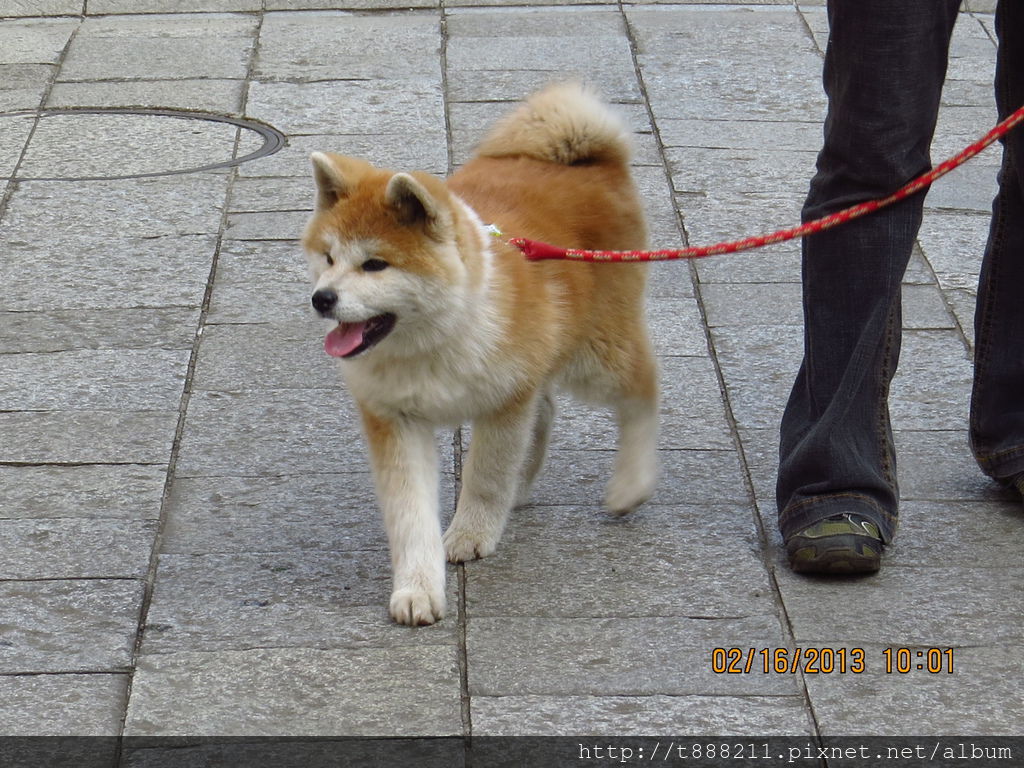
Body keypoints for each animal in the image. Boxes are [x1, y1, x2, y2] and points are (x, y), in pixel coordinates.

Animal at [299, 82, 659, 626]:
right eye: (328, 257)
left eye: (375, 265)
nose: (323, 299)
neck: (435, 337)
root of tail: (587, 158)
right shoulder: (395, 419)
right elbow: (410, 514)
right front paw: (417, 589)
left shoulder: (504, 401)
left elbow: (486, 475)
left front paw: (471, 532)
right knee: (546, 410)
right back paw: (524, 486)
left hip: (596, 354)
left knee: (643, 387)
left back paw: (630, 484)